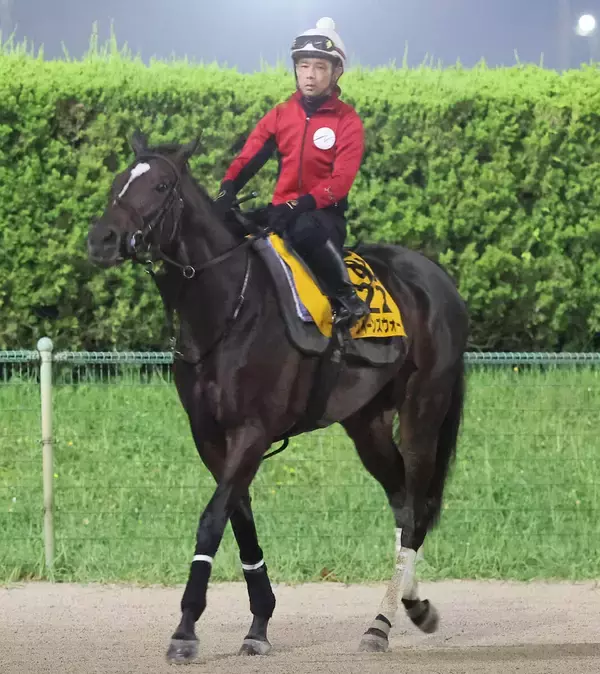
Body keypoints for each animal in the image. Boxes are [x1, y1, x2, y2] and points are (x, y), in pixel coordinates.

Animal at [87, 131, 469, 664]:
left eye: (161, 186)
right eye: (120, 180)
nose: (101, 239)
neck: (229, 307)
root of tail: (437, 278)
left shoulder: (252, 432)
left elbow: (211, 521)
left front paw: (185, 629)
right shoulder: (211, 439)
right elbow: (240, 522)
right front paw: (259, 622)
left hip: (422, 413)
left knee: (416, 507)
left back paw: (383, 621)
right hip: (367, 424)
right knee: (404, 505)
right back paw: (405, 608)